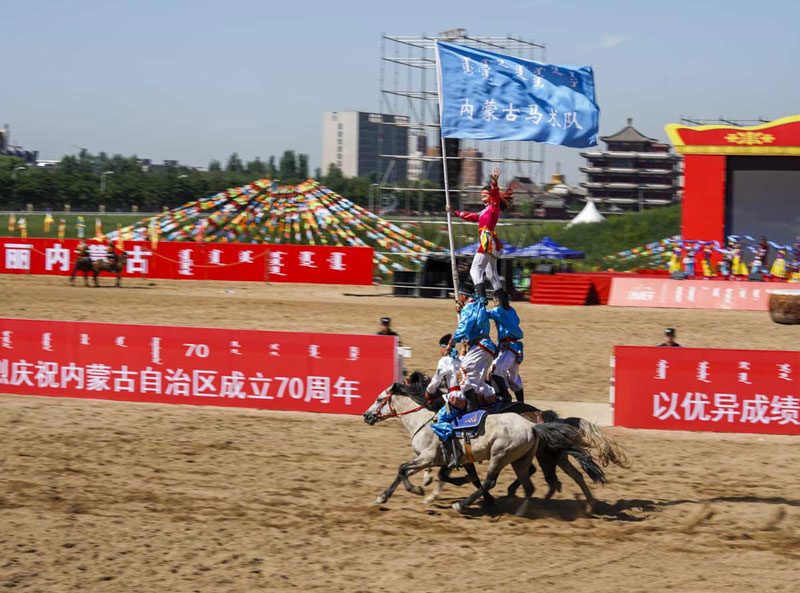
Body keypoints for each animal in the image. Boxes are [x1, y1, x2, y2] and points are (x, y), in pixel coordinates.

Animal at [362, 380, 592, 512]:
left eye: (379, 399)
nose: (366, 416)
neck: (425, 422)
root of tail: (533, 425)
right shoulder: (440, 460)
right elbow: (407, 472)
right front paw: (383, 496)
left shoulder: (427, 458)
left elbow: (403, 469)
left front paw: (417, 490)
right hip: (520, 460)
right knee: (531, 484)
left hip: (500, 456)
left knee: (491, 481)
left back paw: (463, 504)